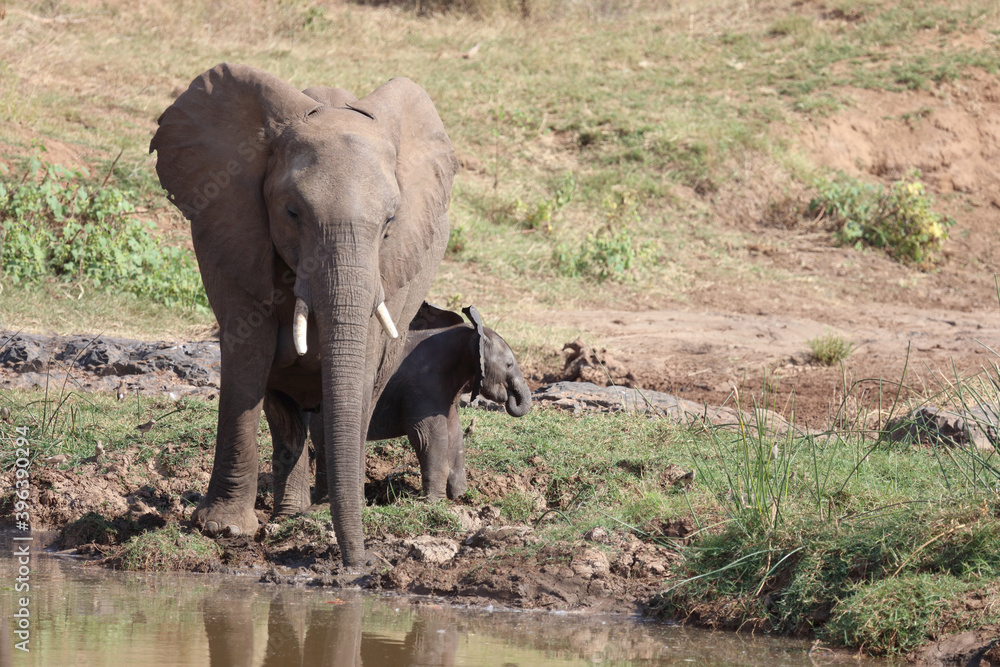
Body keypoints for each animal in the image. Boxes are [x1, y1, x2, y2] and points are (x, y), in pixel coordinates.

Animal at [150, 63, 457, 568]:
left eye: (390, 223)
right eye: (292, 212)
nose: (364, 564)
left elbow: (362, 364)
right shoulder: (231, 233)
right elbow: (248, 356)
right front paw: (224, 529)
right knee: (285, 406)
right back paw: (294, 515)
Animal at [312, 303, 532, 503]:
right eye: (509, 365)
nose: (509, 398)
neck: (469, 333)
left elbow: (454, 433)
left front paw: (460, 498)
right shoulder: (423, 386)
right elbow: (429, 437)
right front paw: (434, 503)